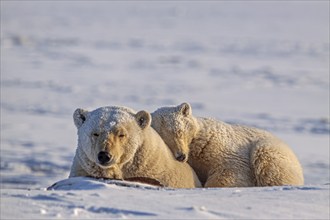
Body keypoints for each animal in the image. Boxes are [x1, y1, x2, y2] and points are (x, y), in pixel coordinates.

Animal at [152, 103, 304, 187]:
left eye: (179, 131)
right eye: (164, 139)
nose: (181, 156)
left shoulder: (216, 145)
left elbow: (231, 169)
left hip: (270, 150)